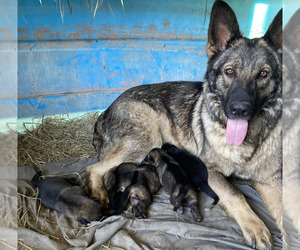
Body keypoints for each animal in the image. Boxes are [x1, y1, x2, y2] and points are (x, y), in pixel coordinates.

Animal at [86, 1, 282, 248]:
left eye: (264, 74)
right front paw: (255, 227)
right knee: (93, 168)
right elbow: (236, 194)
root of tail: (107, 110)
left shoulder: (271, 181)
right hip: (145, 139)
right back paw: (100, 195)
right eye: (229, 71)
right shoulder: (210, 170)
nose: (239, 110)